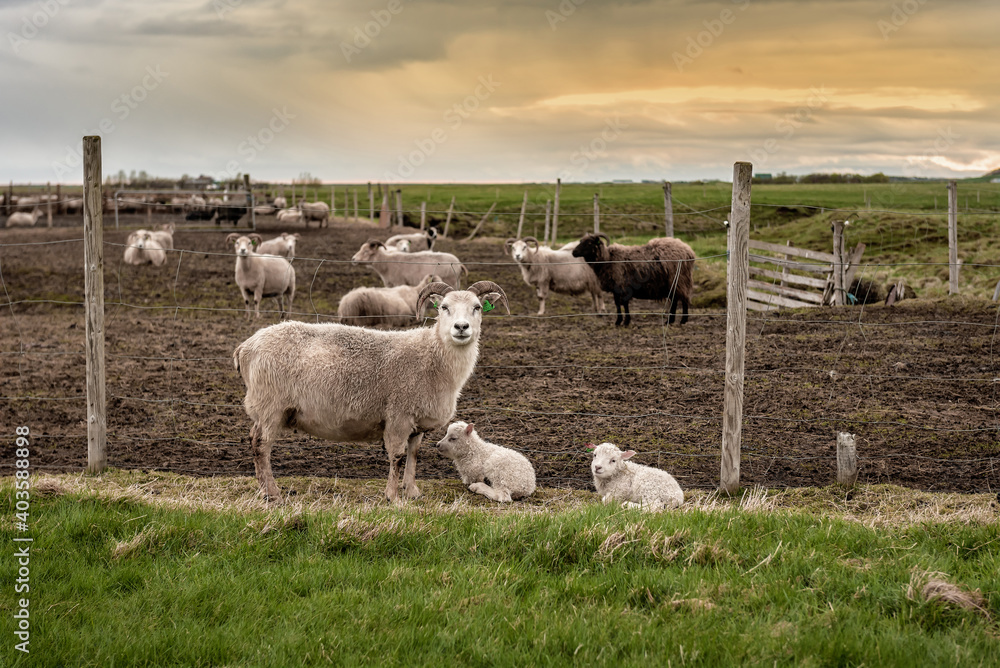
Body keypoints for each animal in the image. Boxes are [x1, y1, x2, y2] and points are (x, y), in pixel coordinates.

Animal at [232, 279, 510, 502]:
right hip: (270, 405)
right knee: (261, 445)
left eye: (477, 307)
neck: (433, 356)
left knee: (255, 441)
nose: (461, 327)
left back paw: (264, 490)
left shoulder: (417, 421)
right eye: (444, 307)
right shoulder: (398, 414)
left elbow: (414, 454)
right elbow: (397, 456)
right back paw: (271, 493)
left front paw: (411, 491)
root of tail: (246, 346)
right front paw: (393, 497)